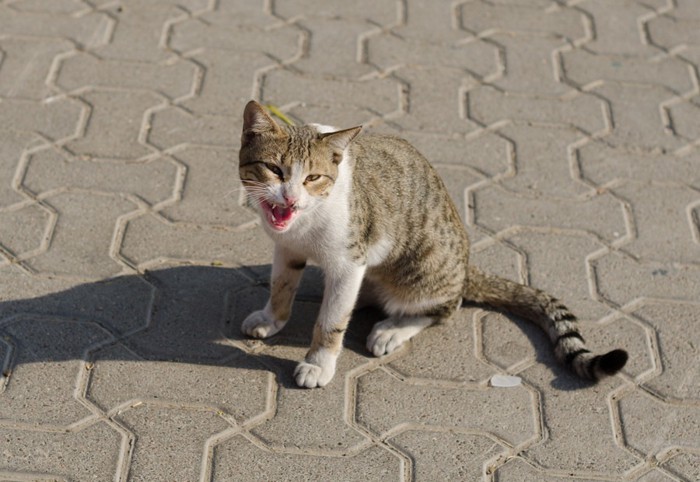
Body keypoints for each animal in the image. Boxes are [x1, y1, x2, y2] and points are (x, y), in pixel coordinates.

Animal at [238, 100, 628, 388]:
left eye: (313, 177)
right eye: (274, 169)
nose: (289, 197)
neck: (304, 222)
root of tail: (467, 267)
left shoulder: (349, 261)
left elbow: (331, 323)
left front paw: (319, 363)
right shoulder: (288, 249)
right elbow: (281, 286)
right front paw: (272, 318)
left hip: (420, 271)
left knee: (443, 307)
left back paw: (393, 329)